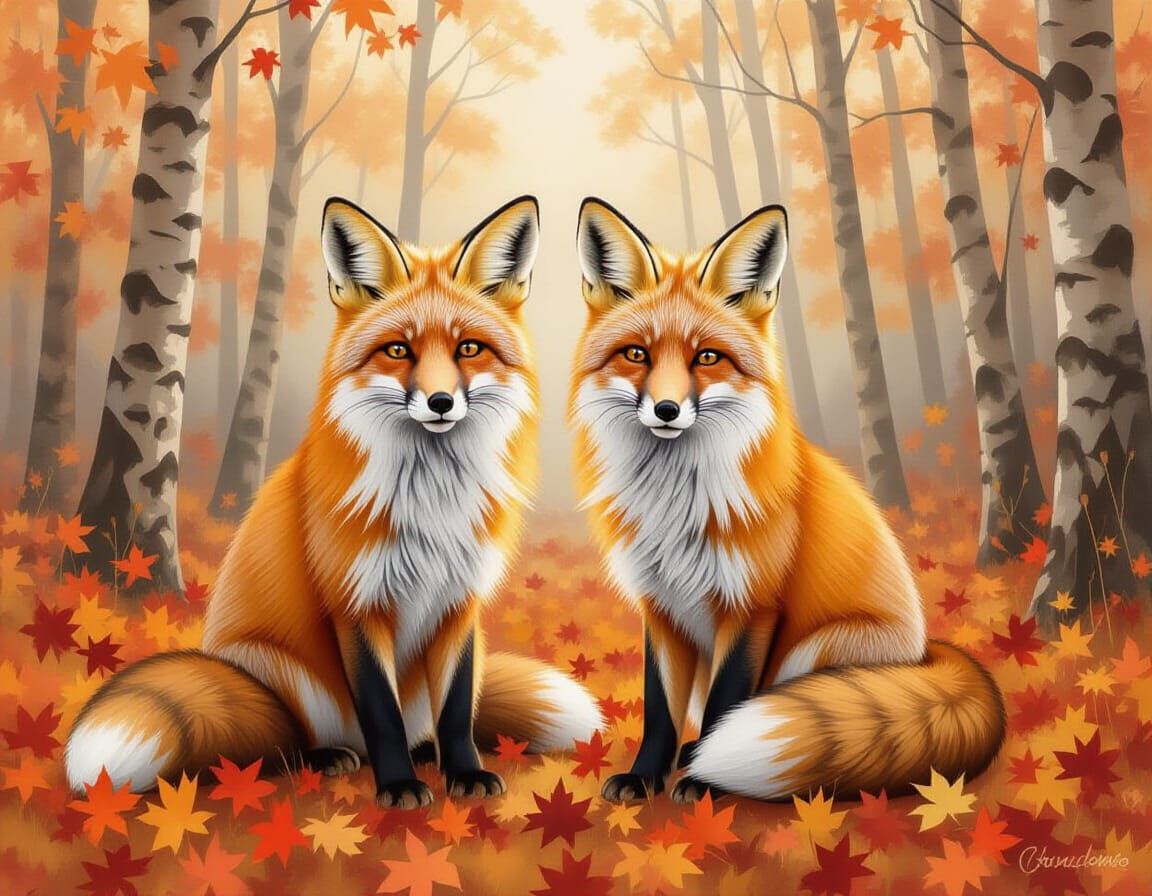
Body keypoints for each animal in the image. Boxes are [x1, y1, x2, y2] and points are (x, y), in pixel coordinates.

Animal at [66, 196, 603, 807]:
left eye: (468, 348)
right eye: (398, 350)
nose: (441, 402)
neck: (432, 501)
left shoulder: (459, 605)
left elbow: (456, 712)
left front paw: (464, 774)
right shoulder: (355, 601)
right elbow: (381, 712)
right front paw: (398, 787)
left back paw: (425, 754)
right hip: (286, 672)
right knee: (293, 741)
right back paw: (331, 758)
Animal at [569, 198, 1005, 804]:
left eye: (707, 358)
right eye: (637, 354)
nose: (666, 410)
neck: (675, 503)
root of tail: (926, 652)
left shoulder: (753, 606)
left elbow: (725, 705)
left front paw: (702, 780)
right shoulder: (661, 606)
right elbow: (659, 710)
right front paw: (644, 777)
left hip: (813, 651)